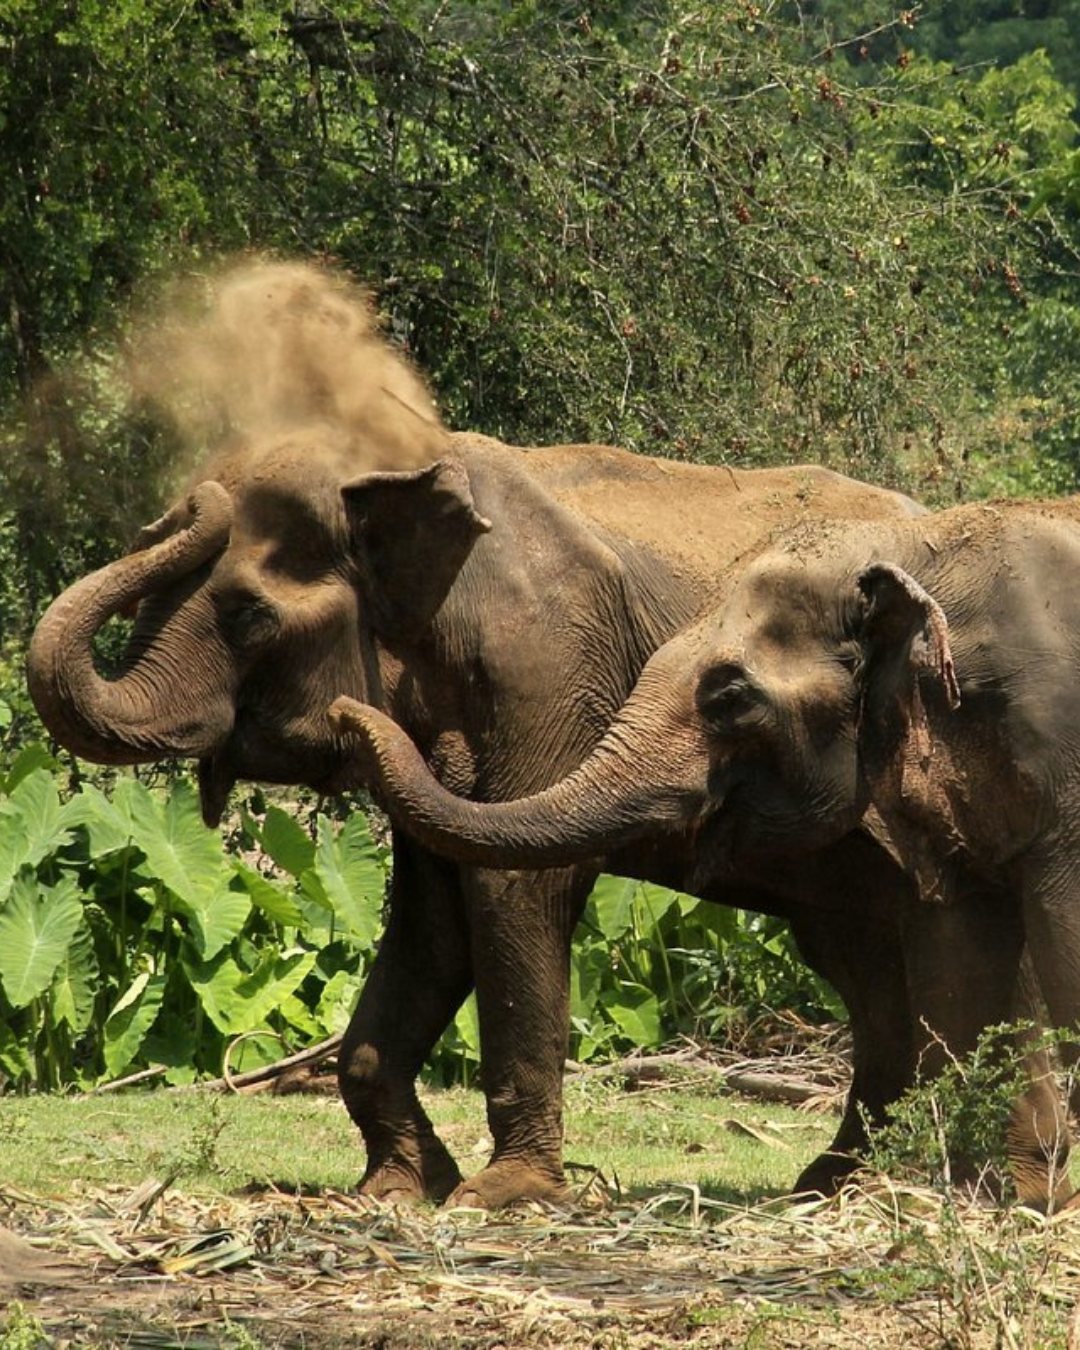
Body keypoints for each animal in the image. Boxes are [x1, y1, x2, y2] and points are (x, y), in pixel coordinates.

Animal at [27, 271, 939, 1208]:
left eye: (248, 617)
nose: (188, 502)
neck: (398, 474)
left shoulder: (549, 663)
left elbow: (514, 889)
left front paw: (504, 1196)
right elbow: (432, 910)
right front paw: (398, 1189)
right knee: (873, 974)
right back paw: (838, 1183)